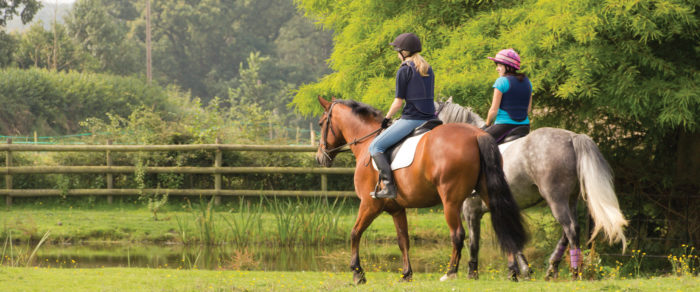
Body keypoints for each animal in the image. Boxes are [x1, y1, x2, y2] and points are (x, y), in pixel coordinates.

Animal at [314, 97, 528, 282]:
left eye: (321, 123)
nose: (319, 158)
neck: (368, 142)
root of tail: (477, 135)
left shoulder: (369, 205)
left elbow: (354, 233)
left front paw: (357, 273)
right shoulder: (397, 209)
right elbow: (403, 240)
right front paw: (406, 274)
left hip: (450, 202)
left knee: (457, 234)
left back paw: (450, 272)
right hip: (487, 193)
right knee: (503, 222)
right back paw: (513, 272)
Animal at [438, 100, 628, 280]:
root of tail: (572, 137)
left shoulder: (471, 210)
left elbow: (474, 243)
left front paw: (472, 273)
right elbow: (511, 238)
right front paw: (520, 271)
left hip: (556, 199)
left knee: (570, 228)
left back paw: (575, 272)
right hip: (571, 199)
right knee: (570, 230)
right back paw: (553, 268)